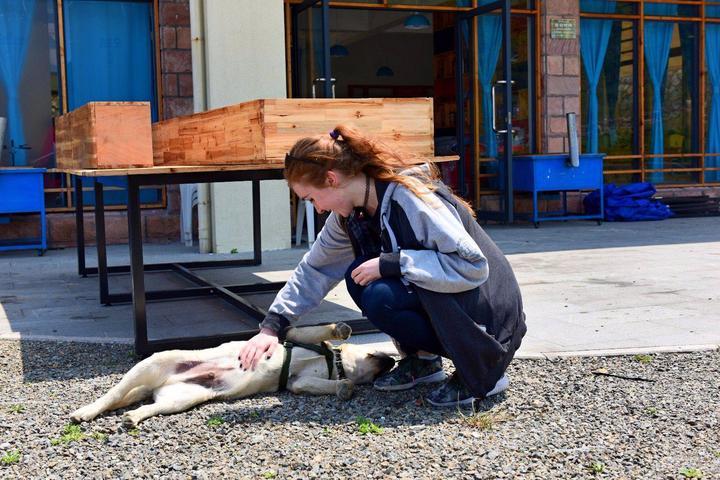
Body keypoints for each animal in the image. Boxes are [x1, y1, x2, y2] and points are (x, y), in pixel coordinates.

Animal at [71, 322, 396, 428]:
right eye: (379, 352)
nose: (392, 361)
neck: (335, 362)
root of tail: (161, 382)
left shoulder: (299, 383)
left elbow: (328, 383)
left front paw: (344, 387)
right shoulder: (295, 335)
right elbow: (317, 331)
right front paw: (340, 330)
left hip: (181, 399)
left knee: (148, 406)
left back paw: (134, 417)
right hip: (152, 364)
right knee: (111, 394)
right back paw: (85, 412)